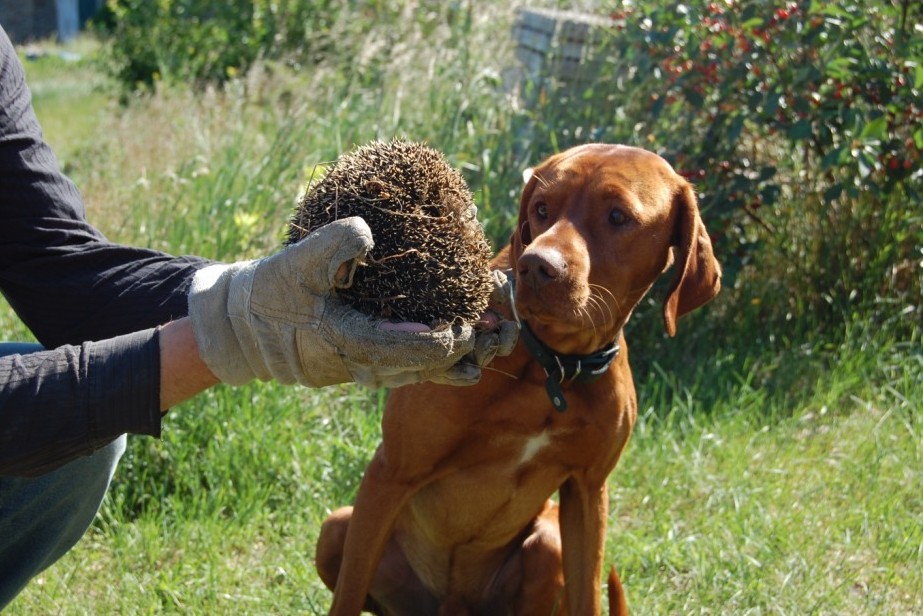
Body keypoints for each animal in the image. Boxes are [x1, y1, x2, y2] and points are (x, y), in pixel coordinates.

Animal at [316, 143, 720, 612]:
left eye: (618, 216)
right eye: (541, 208)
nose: (537, 266)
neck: (554, 365)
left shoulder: (589, 491)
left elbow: (588, 596)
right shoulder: (392, 471)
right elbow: (347, 595)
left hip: (549, 542)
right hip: (338, 526)